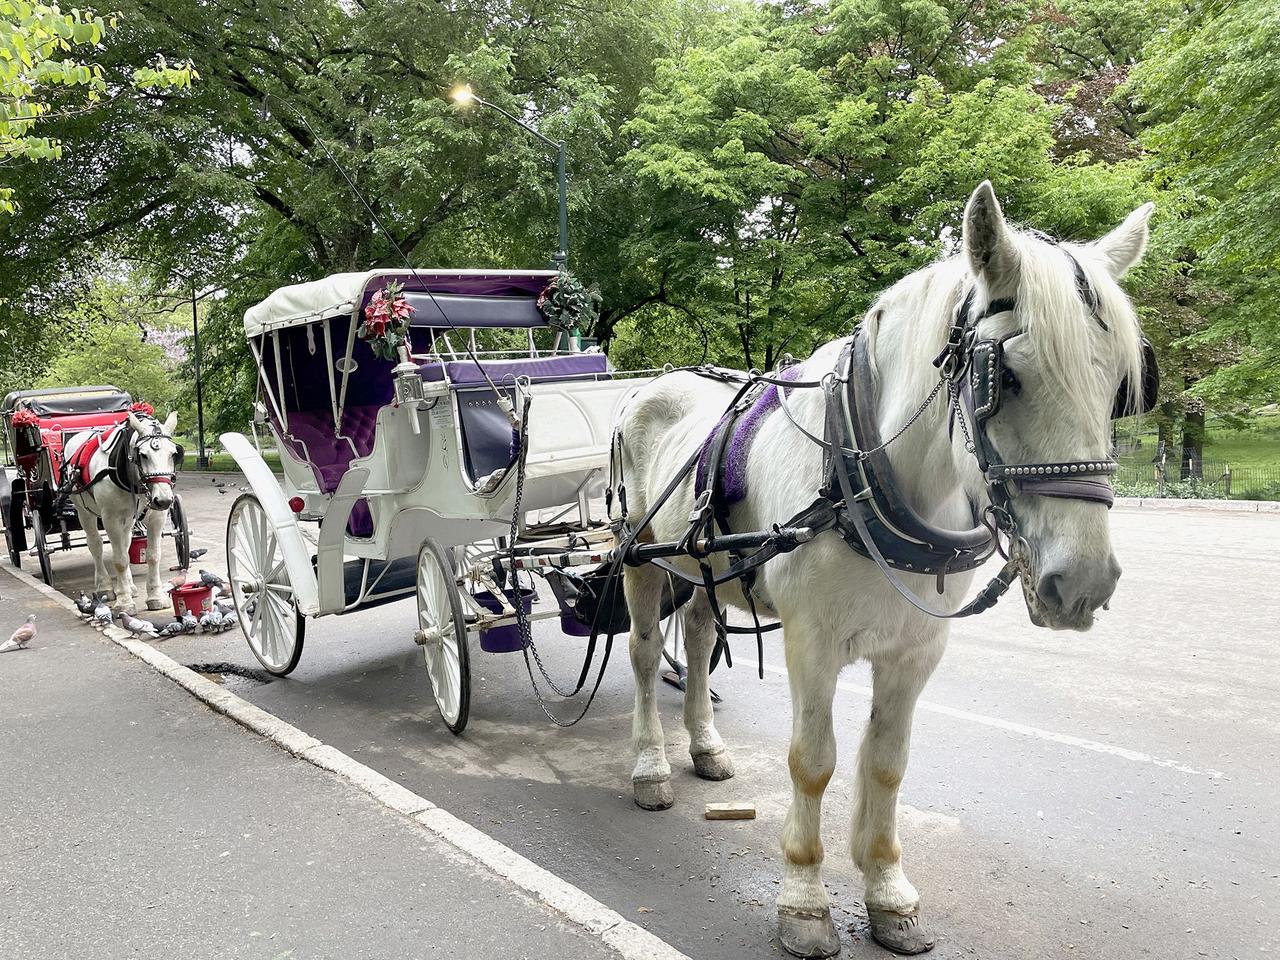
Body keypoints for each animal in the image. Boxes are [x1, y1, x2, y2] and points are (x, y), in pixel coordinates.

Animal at [64, 411, 183, 614]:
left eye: (174, 454)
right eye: (143, 455)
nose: (164, 500)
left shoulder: (156, 517)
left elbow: (152, 556)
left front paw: (155, 596)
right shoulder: (111, 519)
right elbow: (119, 559)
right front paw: (124, 602)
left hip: (128, 519)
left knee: (125, 544)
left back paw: (129, 585)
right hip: (84, 512)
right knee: (96, 545)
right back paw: (105, 585)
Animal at [613, 181, 1152, 957]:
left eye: (1118, 386)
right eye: (1007, 378)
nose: (1082, 582)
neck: (862, 473)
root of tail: (651, 384)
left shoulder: (914, 651)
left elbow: (886, 763)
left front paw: (888, 891)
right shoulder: (811, 645)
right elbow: (813, 762)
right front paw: (805, 900)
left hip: (701, 562)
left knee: (696, 632)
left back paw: (705, 746)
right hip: (639, 555)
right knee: (643, 651)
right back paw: (651, 765)